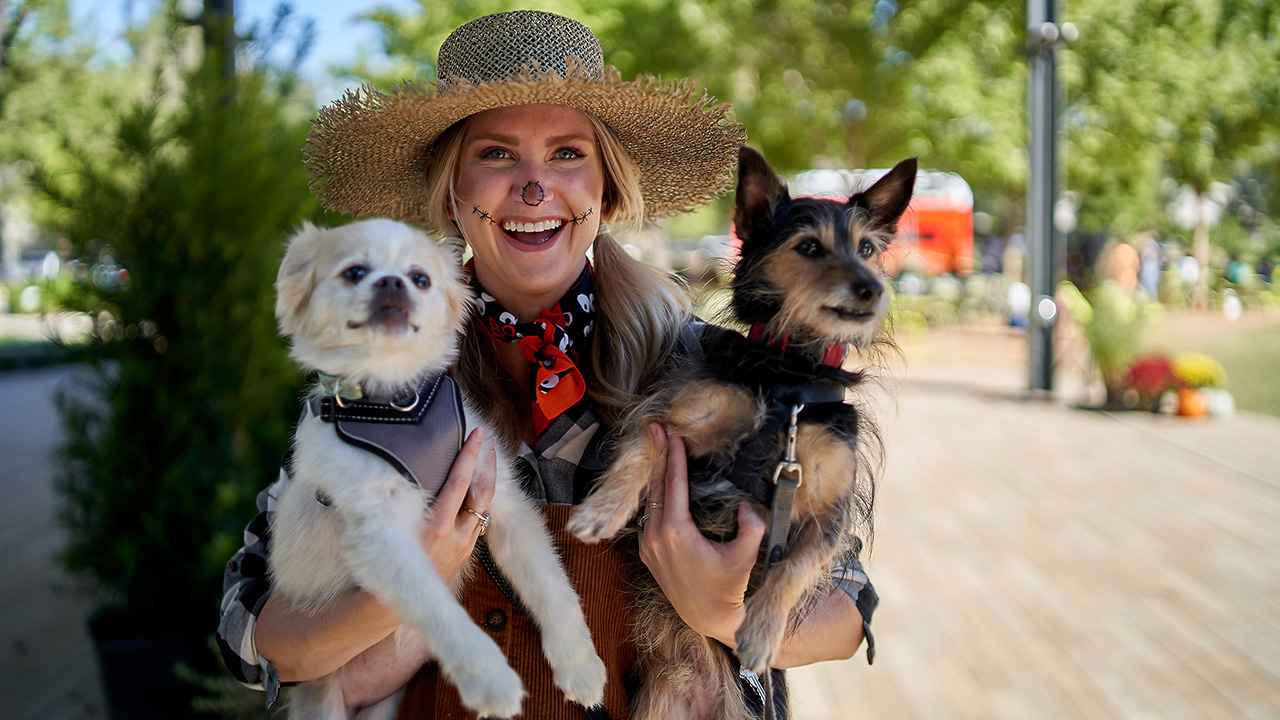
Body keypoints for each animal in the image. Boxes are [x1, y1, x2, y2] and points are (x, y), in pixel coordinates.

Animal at [268, 219, 604, 717]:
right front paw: (489, 679)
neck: (401, 408)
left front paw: (579, 664)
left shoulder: (506, 507)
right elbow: (440, 610)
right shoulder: (382, 538)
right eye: (353, 272)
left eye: (421, 278)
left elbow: (550, 585)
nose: (392, 282)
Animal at [568, 146, 911, 717]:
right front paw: (602, 510)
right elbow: (636, 453)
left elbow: (794, 567)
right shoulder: (669, 418)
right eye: (809, 247)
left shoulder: (829, 515)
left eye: (867, 248)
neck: (789, 379)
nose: (873, 288)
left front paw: (760, 632)